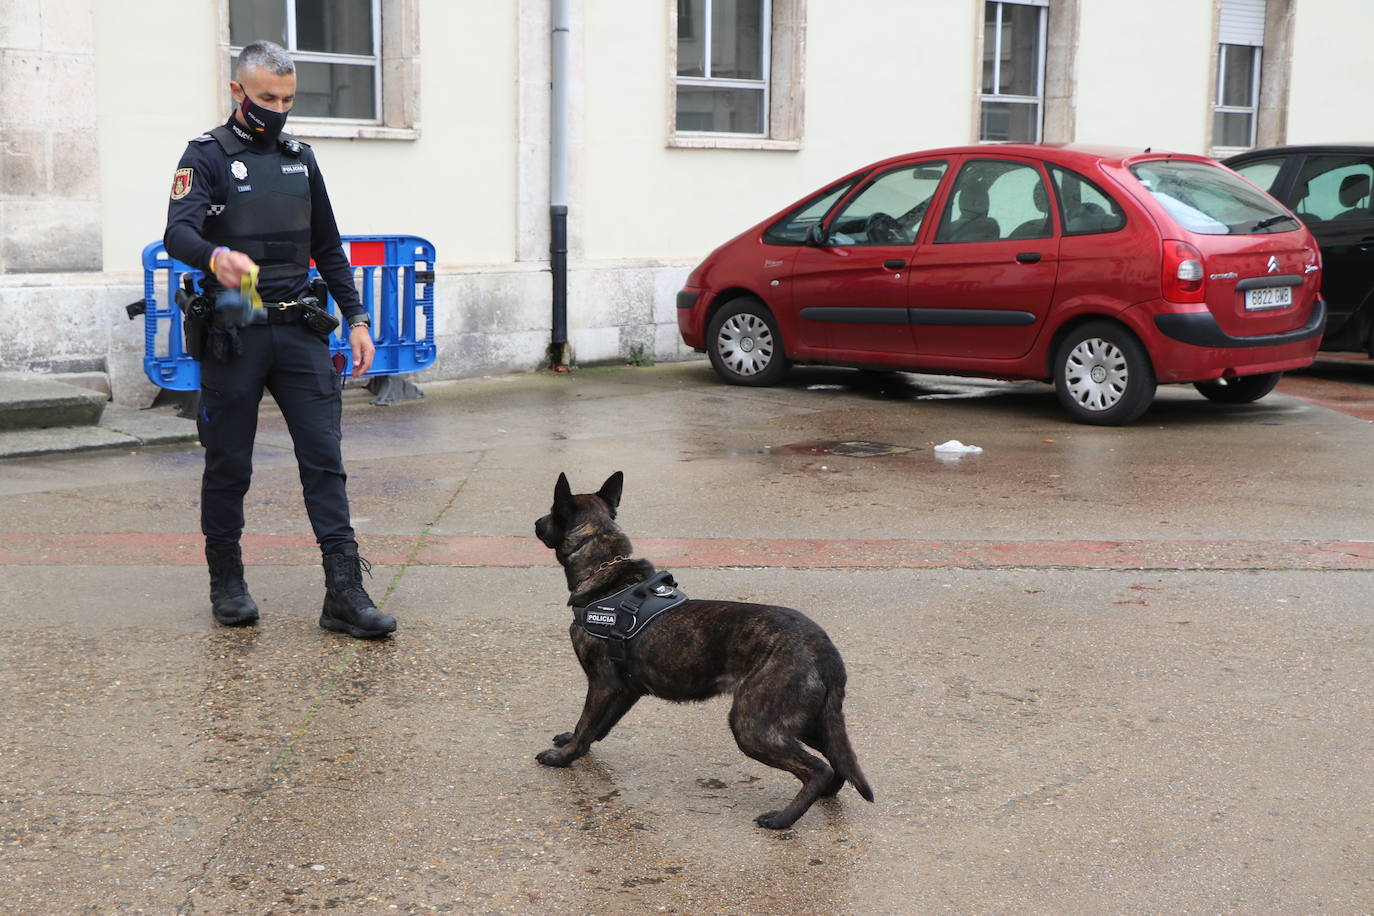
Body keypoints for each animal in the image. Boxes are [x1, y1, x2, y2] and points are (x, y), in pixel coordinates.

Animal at [530, 472, 873, 829]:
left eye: (551, 511)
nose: (536, 523)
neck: (606, 574)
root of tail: (824, 648)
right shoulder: (625, 690)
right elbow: (597, 726)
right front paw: (574, 744)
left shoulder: (603, 684)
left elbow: (587, 723)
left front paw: (563, 757)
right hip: (807, 721)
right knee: (837, 761)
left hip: (753, 725)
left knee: (817, 769)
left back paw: (782, 819)